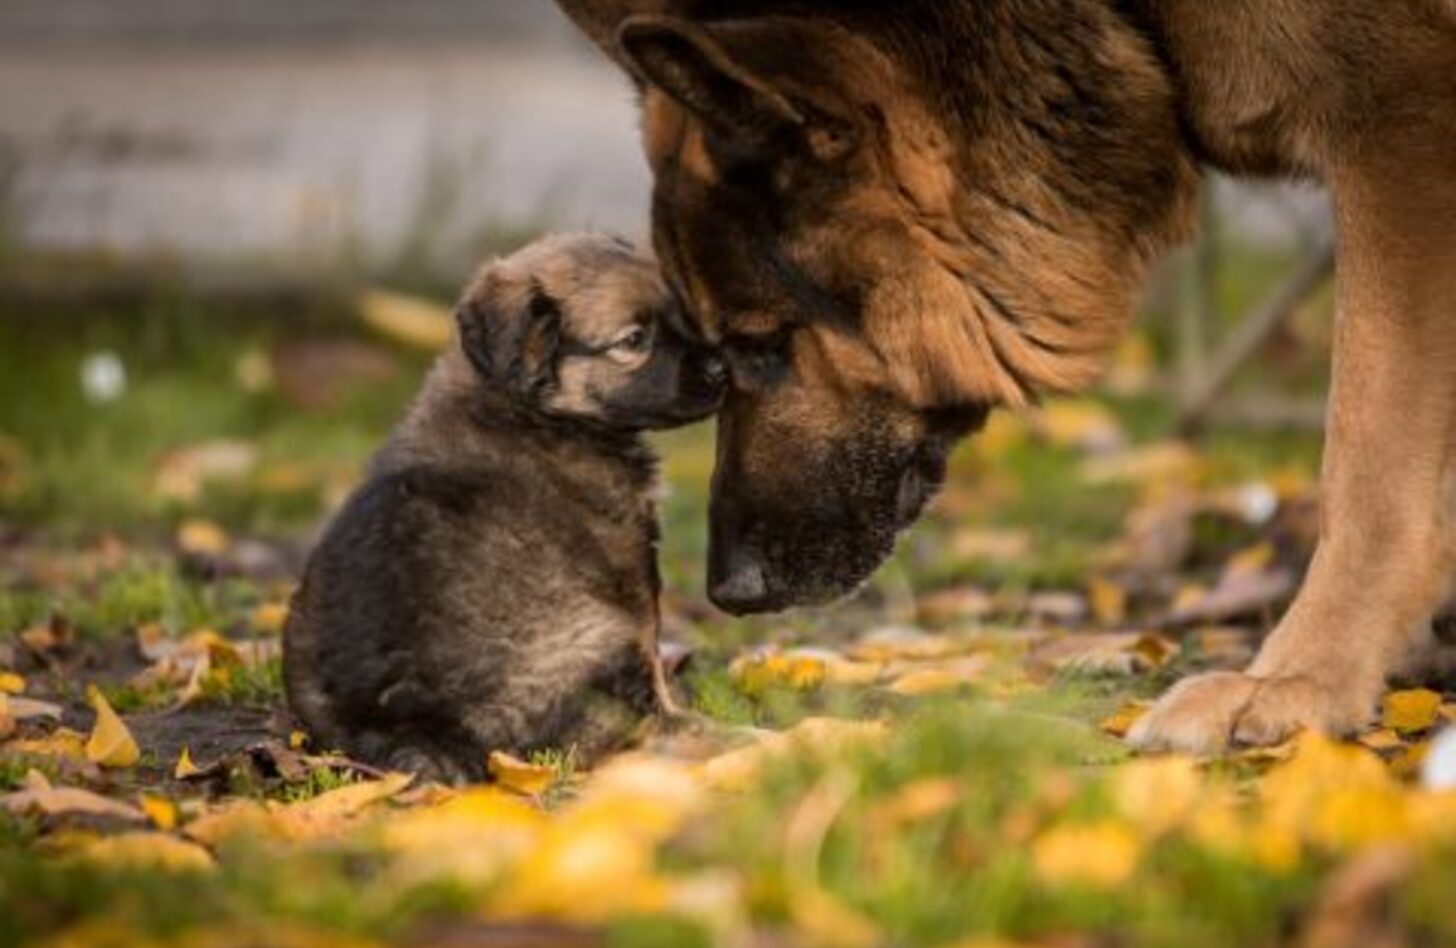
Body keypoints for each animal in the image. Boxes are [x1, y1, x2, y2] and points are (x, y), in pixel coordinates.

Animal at [281, 232, 725, 780]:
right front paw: (678, 711)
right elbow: (651, 650)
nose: (722, 368)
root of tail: (412, 726)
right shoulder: (630, 568)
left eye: (683, 315)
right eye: (634, 340)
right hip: (599, 634)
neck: (526, 407)